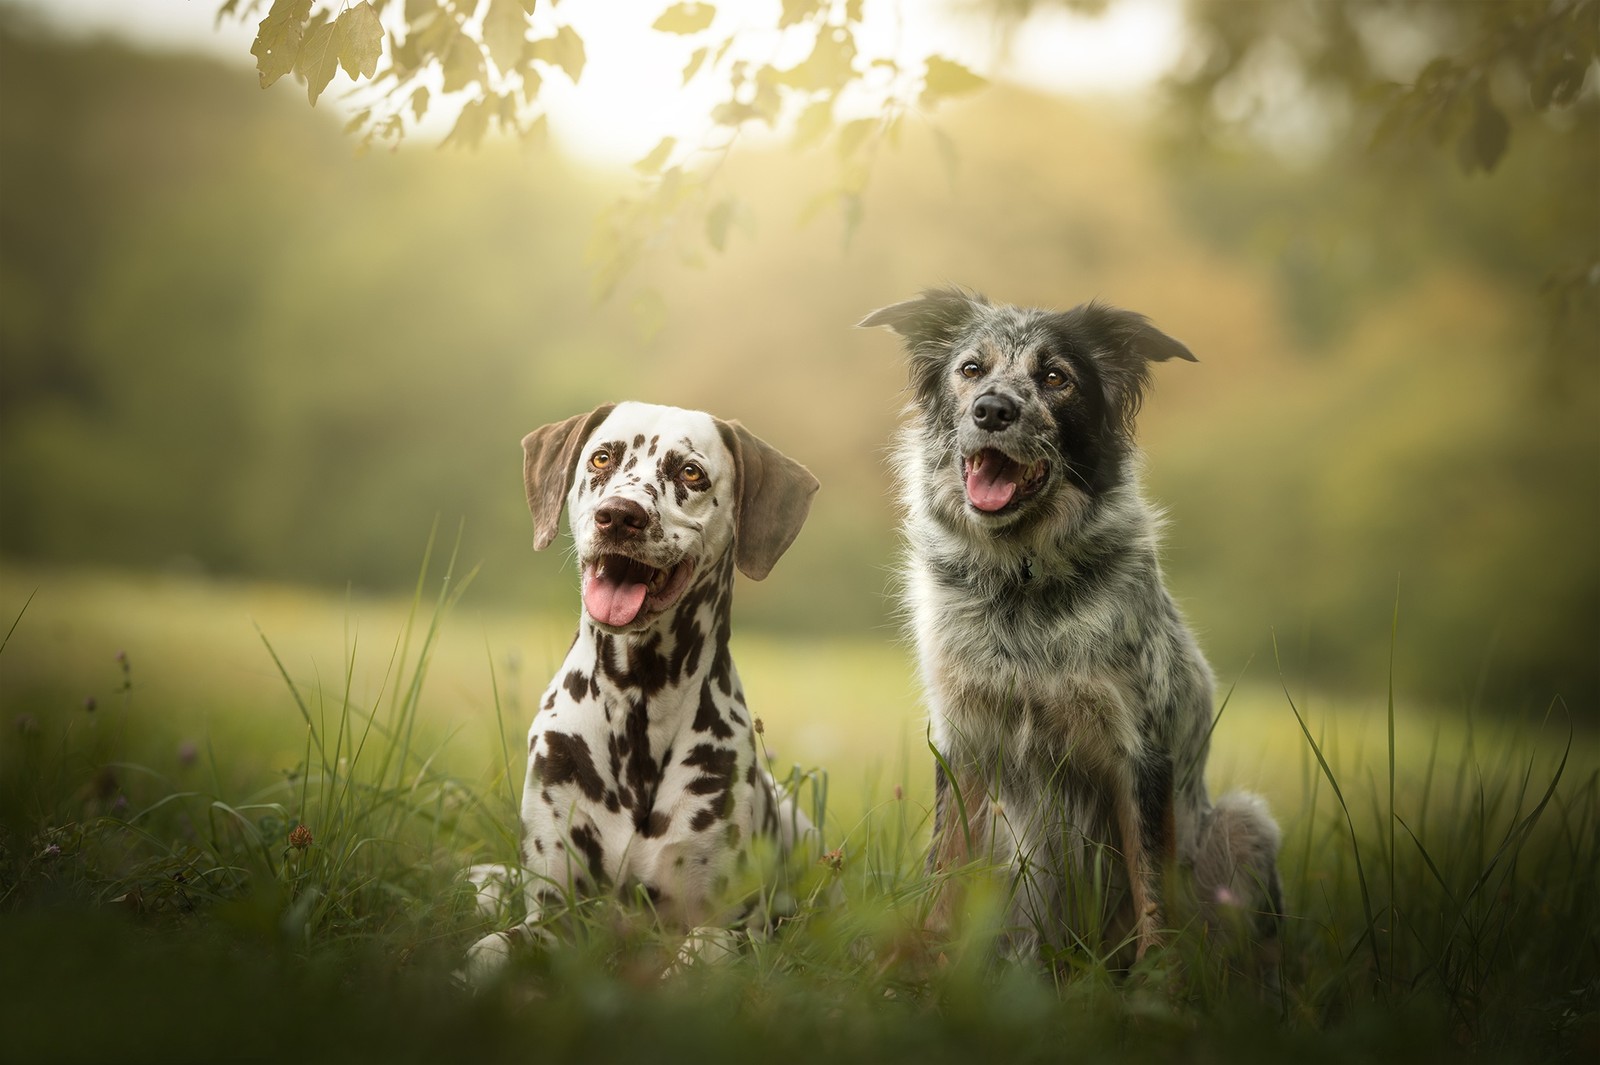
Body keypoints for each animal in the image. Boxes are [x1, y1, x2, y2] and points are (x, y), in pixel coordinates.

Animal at [460, 402, 812, 985]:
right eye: (602, 457)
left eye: (690, 472)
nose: (620, 516)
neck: (638, 703)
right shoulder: (555, 914)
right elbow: (493, 948)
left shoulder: (736, 927)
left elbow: (705, 947)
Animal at [864, 287, 1286, 959]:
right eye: (971, 369)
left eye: (1056, 378)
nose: (992, 410)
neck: (1020, 579)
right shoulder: (964, 743)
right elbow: (945, 868)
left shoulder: (1141, 754)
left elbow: (1152, 894)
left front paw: (1158, 980)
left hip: (1244, 823)